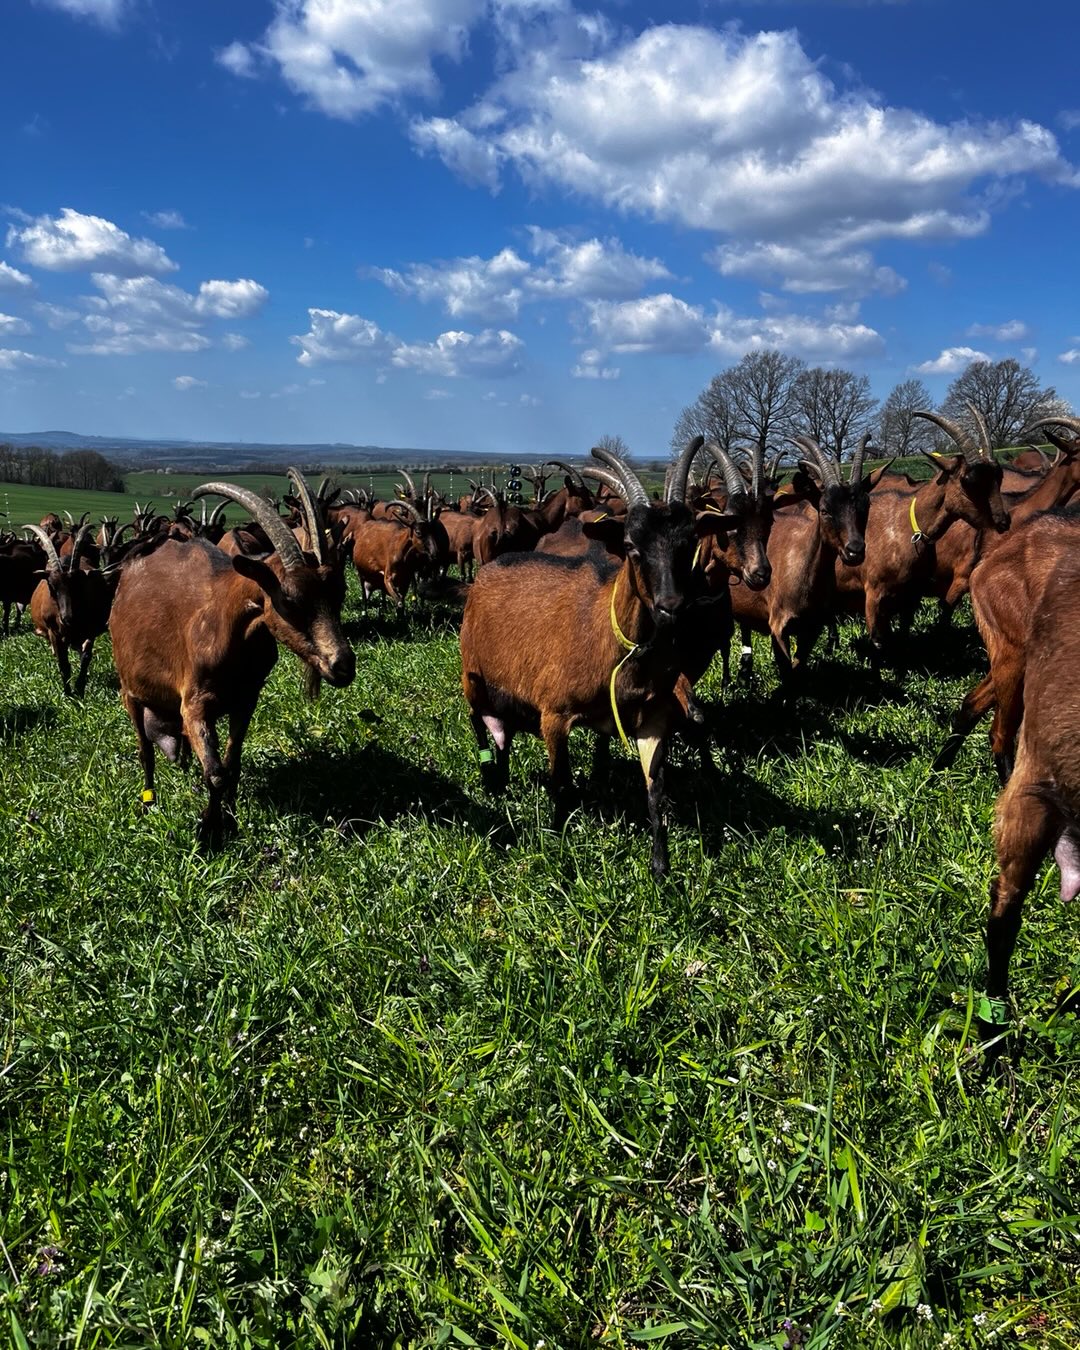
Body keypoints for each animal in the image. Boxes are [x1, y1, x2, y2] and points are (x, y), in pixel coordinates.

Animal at [109, 468, 355, 844]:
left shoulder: (246, 698)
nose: (342, 664)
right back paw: (149, 802)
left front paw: (231, 817)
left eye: (339, 591)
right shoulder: (194, 703)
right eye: (289, 600)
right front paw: (210, 831)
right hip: (130, 693)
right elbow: (217, 772)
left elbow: (231, 764)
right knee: (145, 751)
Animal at [460, 439, 722, 878]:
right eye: (632, 547)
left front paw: (661, 868)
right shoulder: (554, 715)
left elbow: (655, 792)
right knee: (478, 720)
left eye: (688, 546)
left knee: (503, 730)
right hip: (473, 675)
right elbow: (562, 783)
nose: (672, 607)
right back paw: (491, 780)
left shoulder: (653, 720)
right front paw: (556, 840)